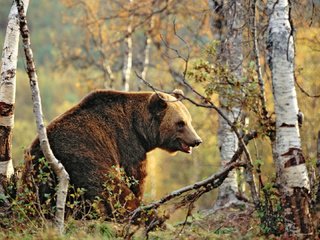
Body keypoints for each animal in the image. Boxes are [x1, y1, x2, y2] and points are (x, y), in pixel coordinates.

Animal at [28, 89, 202, 219]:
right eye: (180, 123)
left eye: (190, 120)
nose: (197, 140)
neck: (140, 129)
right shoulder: (127, 144)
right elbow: (134, 178)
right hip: (82, 160)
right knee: (112, 190)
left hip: (39, 175)